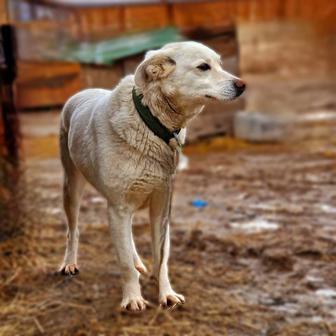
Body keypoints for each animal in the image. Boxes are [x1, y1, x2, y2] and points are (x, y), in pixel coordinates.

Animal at [59, 40, 245, 312]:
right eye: (203, 67)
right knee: (74, 231)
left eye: (220, 64)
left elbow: (161, 259)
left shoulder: (161, 207)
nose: (242, 85)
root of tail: (82, 92)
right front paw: (132, 298)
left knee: (129, 239)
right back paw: (69, 263)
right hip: (71, 188)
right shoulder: (118, 208)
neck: (151, 123)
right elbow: (124, 262)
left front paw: (166, 293)